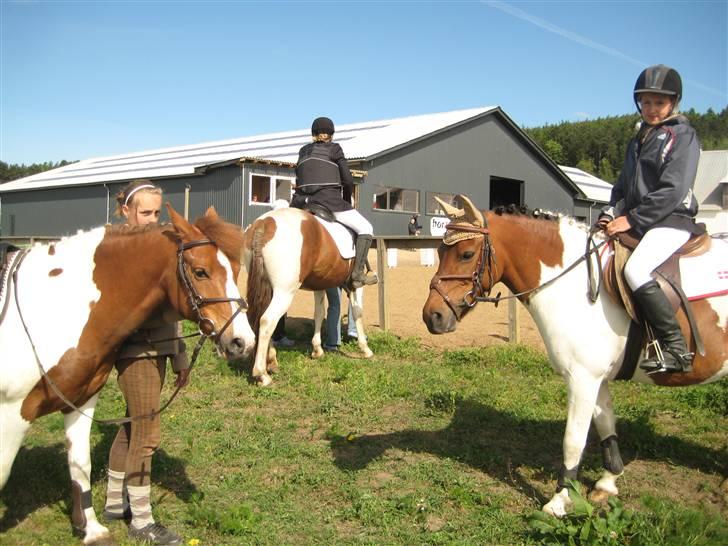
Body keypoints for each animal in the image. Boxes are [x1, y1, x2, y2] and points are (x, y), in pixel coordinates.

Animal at [0, 205, 256, 544]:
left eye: (236, 269)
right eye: (201, 272)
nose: (243, 341)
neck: (54, 309)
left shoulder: (79, 401)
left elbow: (80, 464)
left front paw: (91, 529)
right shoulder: (13, 412)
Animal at [242, 205, 373, 386]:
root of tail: (265, 224)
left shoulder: (320, 286)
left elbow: (318, 313)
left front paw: (317, 350)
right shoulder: (354, 286)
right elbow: (358, 312)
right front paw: (365, 349)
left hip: (267, 287)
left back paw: (271, 361)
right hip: (284, 292)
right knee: (267, 321)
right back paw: (261, 374)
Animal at [422, 195, 727, 518]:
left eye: (466, 254)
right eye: (440, 251)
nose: (432, 316)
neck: (576, 285)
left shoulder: (583, 378)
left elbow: (573, 440)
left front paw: (559, 501)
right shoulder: (597, 378)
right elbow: (606, 426)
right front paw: (607, 483)